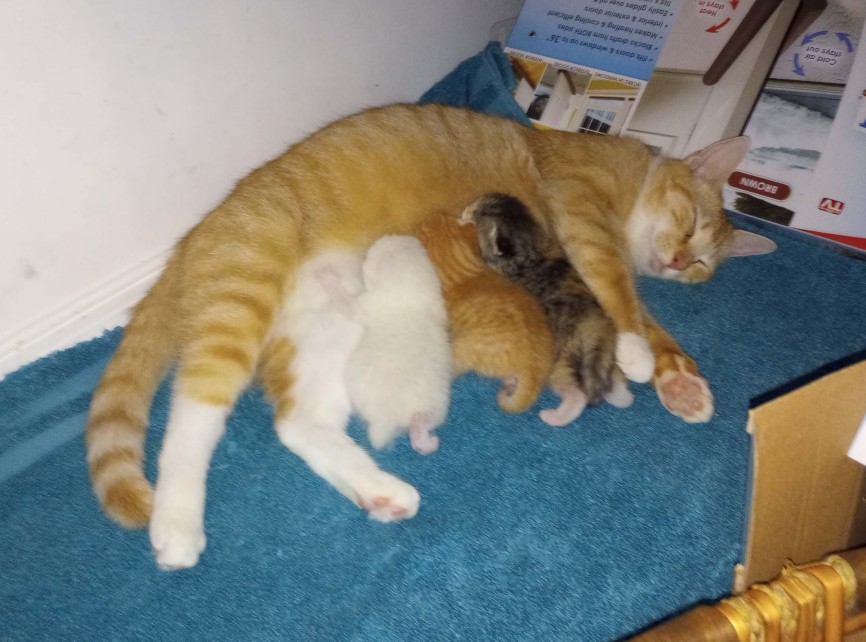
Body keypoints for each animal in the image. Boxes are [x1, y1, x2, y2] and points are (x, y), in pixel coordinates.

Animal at [344, 235, 452, 456]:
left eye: (373, 253)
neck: (412, 295)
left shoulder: (365, 304)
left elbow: (346, 299)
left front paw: (326, 276)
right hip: (434, 410)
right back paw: (427, 441)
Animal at [470, 192, 632, 428]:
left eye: (476, 214)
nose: (464, 211)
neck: (532, 249)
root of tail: (594, 324)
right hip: (603, 354)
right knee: (613, 384)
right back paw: (618, 394)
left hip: (560, 357)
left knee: (577, 393)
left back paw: (553, 415)